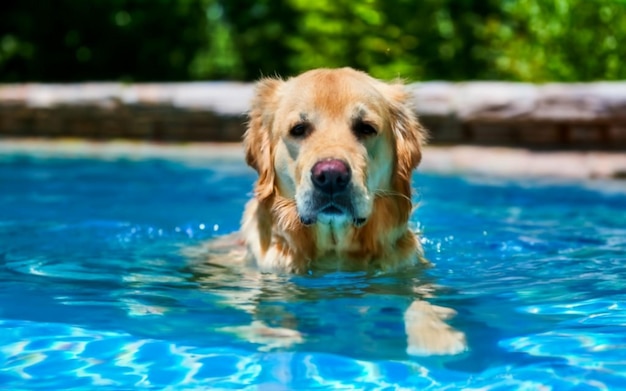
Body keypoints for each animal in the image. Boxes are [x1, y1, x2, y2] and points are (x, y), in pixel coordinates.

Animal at [197, 68, 466, 358]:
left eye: (366, 128)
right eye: (299, 129)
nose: (331, 176)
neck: (334, 249)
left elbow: (419, 300)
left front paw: (434, 337)